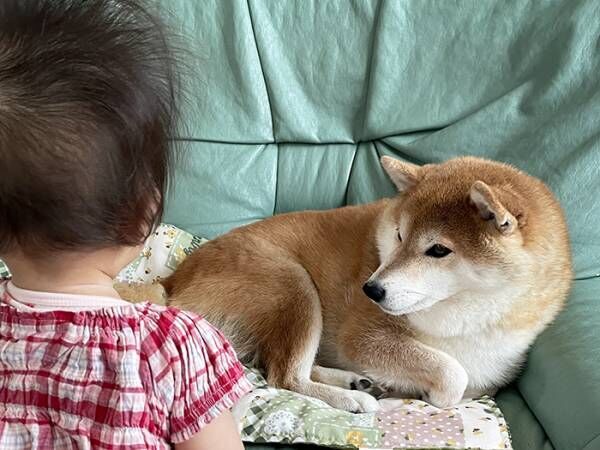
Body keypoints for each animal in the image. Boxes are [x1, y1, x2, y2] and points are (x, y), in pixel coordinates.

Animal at [161, 156, 572, 412]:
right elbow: (453, 375)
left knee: (277, 363)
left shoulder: (494, 375)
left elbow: (473, 382)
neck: (467, 319)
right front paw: (427, 390)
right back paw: (354, 399)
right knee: (284, 374)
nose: (370, 290)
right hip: (294, 283)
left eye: (438, 250)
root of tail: (172, 282)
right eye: (399, 235)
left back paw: (357, 382)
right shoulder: (362, 337)